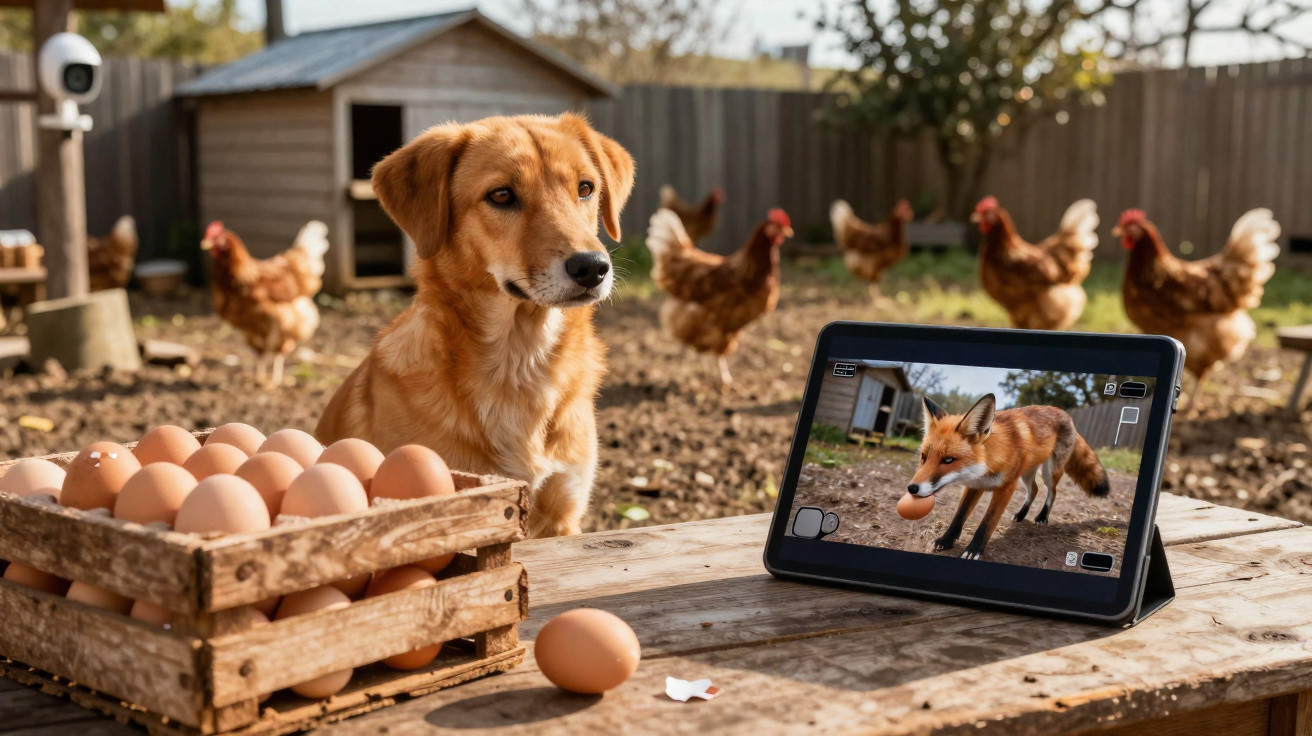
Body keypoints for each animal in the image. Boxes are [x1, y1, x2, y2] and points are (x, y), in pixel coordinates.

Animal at [908, 393, 1110, 560]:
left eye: (948, 460)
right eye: (924, 457)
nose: (912, 488)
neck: (989, 465)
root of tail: (1065, 413)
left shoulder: (1007, 487)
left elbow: (987, 522)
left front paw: (974, 550)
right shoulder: (974, 486)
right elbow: (959, 517)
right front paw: (946, 541)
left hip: (1049, 472)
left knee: (1052, 492)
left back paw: (1042, 517)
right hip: (1027, 474)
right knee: (1034, 490)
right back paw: (1021, 514)